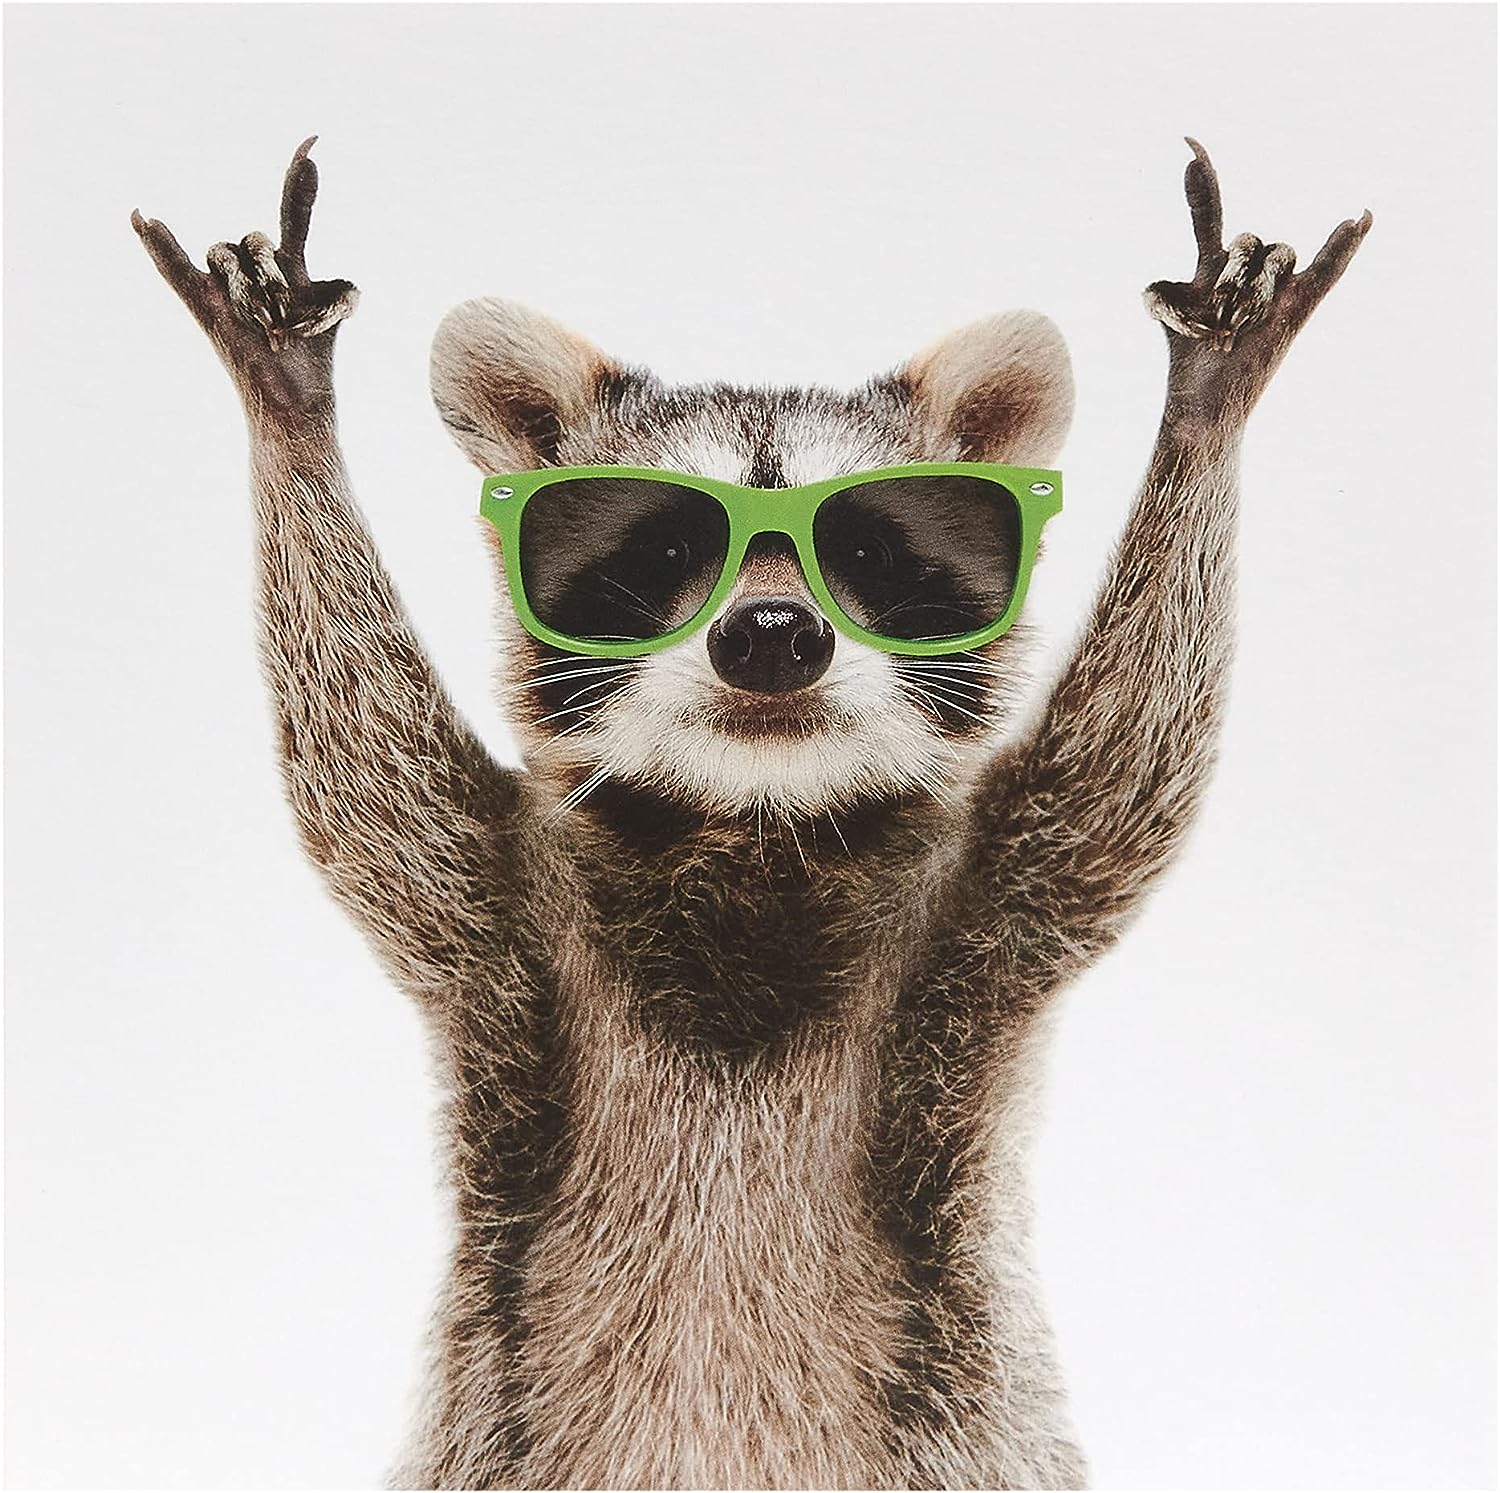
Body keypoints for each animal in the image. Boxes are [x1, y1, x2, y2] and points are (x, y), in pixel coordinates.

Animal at [133, 137, 1370, 1489]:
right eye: (667, 548)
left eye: (868, 554)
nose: (773, 634)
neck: (756, 824)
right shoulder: (499, 910)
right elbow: (362, 770)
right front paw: (292, 418)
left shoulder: (987, 909)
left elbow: (1126, 770)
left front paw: (1204, 415)